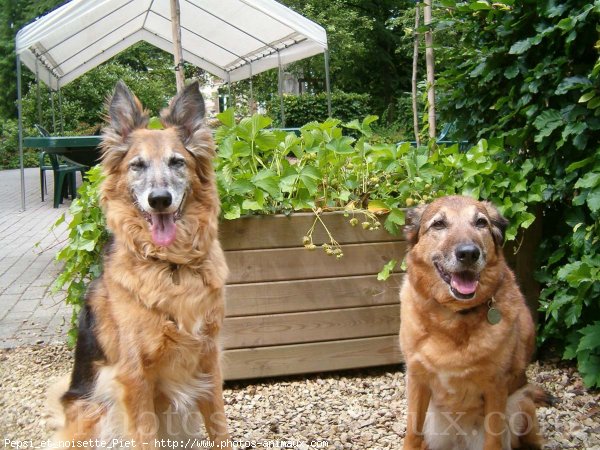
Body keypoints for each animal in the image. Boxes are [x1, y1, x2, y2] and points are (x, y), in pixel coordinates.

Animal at [49, 81, 232, 446]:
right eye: (138, 165)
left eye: (177, 162)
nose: (159, 200)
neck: (170, 266)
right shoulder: (133, 376)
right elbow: (145, 438)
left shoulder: (208, 361)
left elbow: (220, 429)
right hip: (97, 407)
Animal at [400, 197, 548, 450]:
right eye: (438, 224)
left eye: (481, 222)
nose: (469, 254)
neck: (453, 316)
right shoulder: (417, 380)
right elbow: (412, 435)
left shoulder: (496, 388)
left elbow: (493, 440)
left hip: (521, 406)